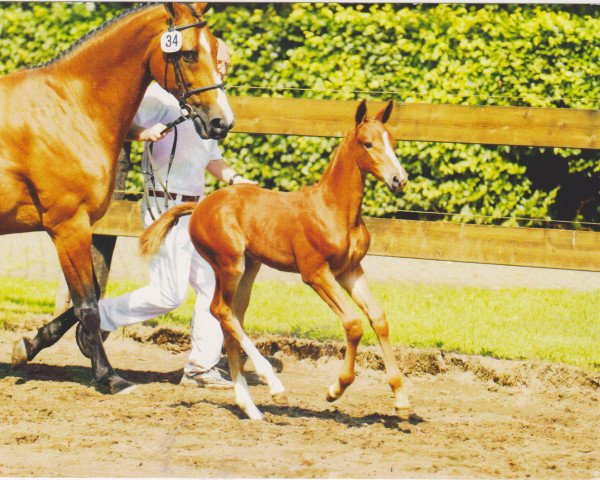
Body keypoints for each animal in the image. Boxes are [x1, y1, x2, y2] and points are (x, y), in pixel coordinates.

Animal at [141, 101, 412, 420]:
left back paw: (250, 407)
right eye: (368, 143)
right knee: (220, 310)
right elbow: (353, 323)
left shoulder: (350, 271)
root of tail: (198, 207)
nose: (399, 180)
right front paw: (336, 389)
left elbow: (378, 319)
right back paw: (274, 385)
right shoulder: (315, 273)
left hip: (249, 268)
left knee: (231, 318)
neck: (334, 209)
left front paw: (401, 400)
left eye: (392, 141)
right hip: (229, 264)